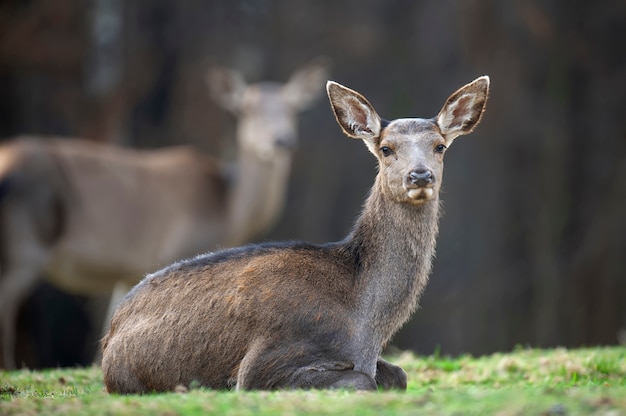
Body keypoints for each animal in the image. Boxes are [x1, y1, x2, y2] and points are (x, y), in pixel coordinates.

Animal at [0, 59, 330, 370]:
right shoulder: (178, 247)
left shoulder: (131, 270)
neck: (228, 212)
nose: (281, 140)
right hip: (24, 244)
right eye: (245, 108)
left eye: (293, 106)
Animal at [101, 75, 488, 394]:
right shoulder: (262, 363)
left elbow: (399, 374)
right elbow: (362, 381)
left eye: (440, 146)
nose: (420, 176)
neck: (365, 326)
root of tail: (111, 332)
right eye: (386, 148)